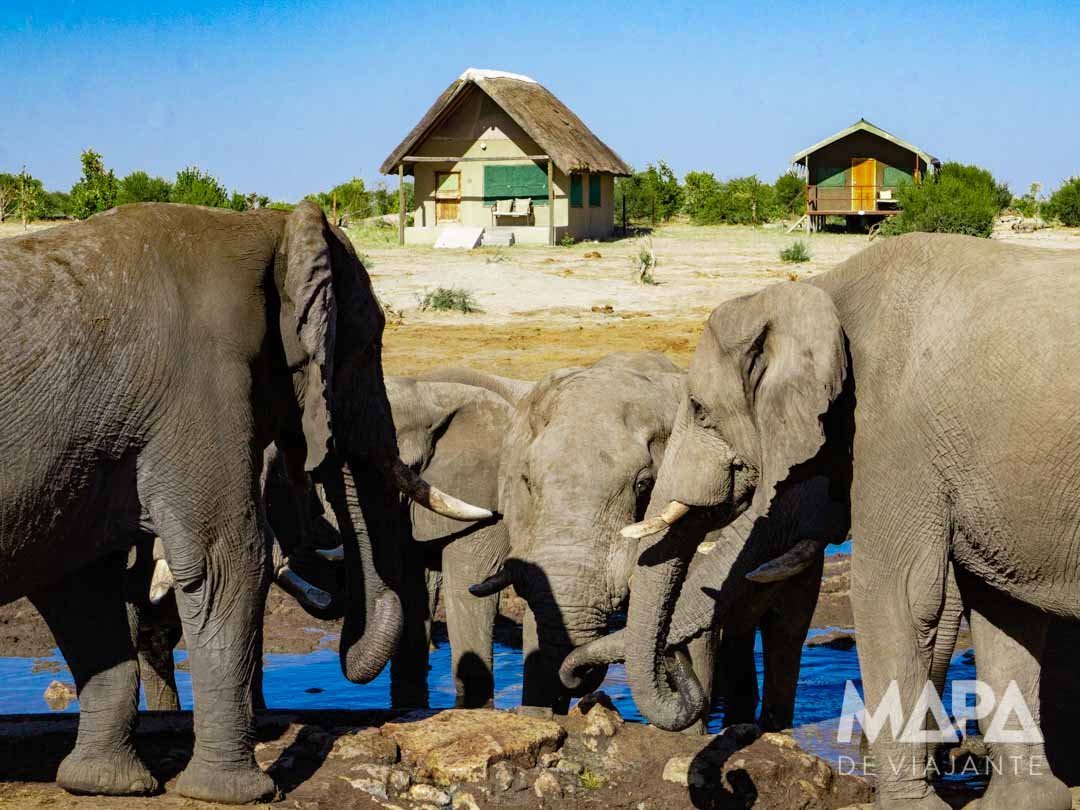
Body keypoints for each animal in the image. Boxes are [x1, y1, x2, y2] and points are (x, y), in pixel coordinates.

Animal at [0, 202, 488, 803]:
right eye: (368, 344)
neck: (264, 227)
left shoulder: (82, 454)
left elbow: (80, 585)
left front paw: (107, 785)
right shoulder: (199, 387)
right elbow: (225, 562)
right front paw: (236, 793)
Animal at [610, 233, 1080, 810]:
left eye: (699, 409)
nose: (678, 670)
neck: (821, 289)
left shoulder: (895, 432)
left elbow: (898, 594)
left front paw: (909, 807)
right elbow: (1003, 610)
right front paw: (1015, 804)